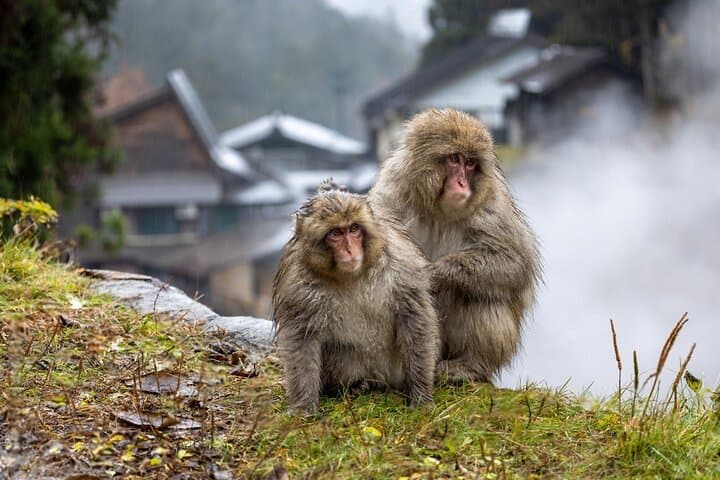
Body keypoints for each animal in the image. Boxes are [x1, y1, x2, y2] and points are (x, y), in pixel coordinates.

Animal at [272, 181, 439, 415]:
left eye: (353, 229)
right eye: (335, 233)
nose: (350, 250)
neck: (352, 275)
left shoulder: (401, 264)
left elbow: (414, 317)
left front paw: (421, 396)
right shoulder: (298, 284)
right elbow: (302, 337)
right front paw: (303, 407)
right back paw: (357, 385)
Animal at [368, 108, 541, 384]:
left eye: (470, 163)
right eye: (454, 159)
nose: (462, 183)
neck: (436, 209)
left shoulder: (491, 204)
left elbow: (515, 263)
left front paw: (434, 274)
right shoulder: (391, 188)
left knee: (479, 293)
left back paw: (469, 366)